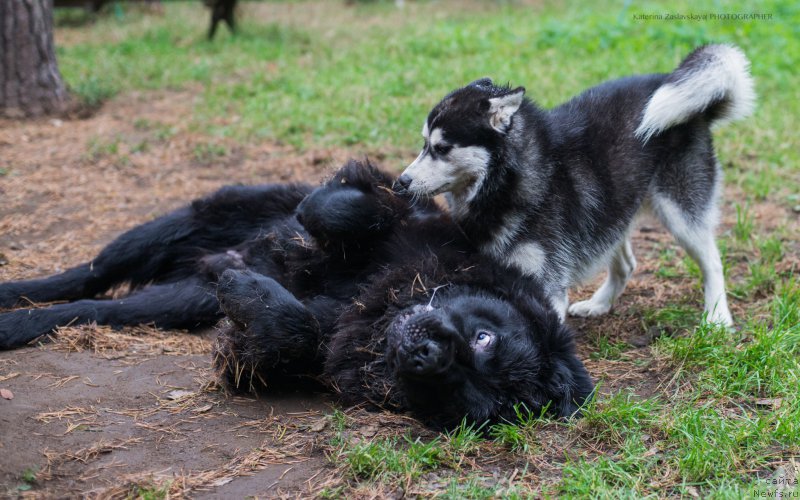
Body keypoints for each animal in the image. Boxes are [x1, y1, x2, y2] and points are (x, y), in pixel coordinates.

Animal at [0, 160, 592, 426]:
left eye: (473, 398)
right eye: (485, 338)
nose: (427, 354)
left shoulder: (322, 352)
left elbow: (296, 333)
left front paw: (250, 297)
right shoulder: (407, 218)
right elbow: (357, 209)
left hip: (177, 299)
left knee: (95, 308)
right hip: (180, 224)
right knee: (84, 276)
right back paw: (14, 298)